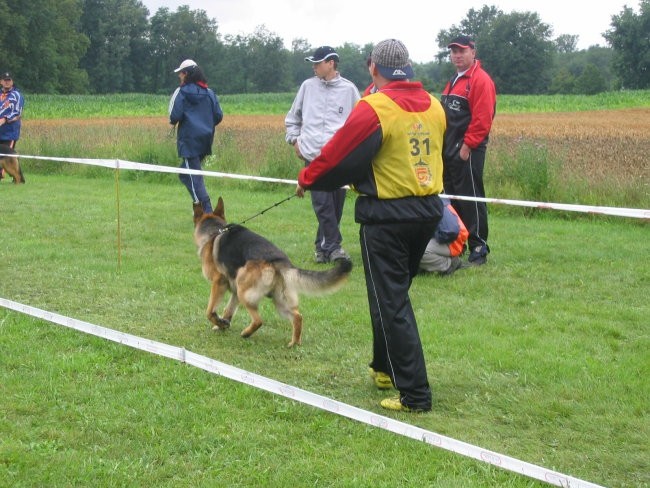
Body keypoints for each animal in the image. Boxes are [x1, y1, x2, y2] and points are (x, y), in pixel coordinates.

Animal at [194, 197, 350, 346]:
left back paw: (246, 333)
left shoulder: (219, 283)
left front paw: (219, 322)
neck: (215, 231)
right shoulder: (234, 291)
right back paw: (294, 343)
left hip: (244, 292)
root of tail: (279, 261)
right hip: (278, 300)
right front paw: (222, 324)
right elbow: (228, 310)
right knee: (297, 316)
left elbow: (210, 311)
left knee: (259, 320)